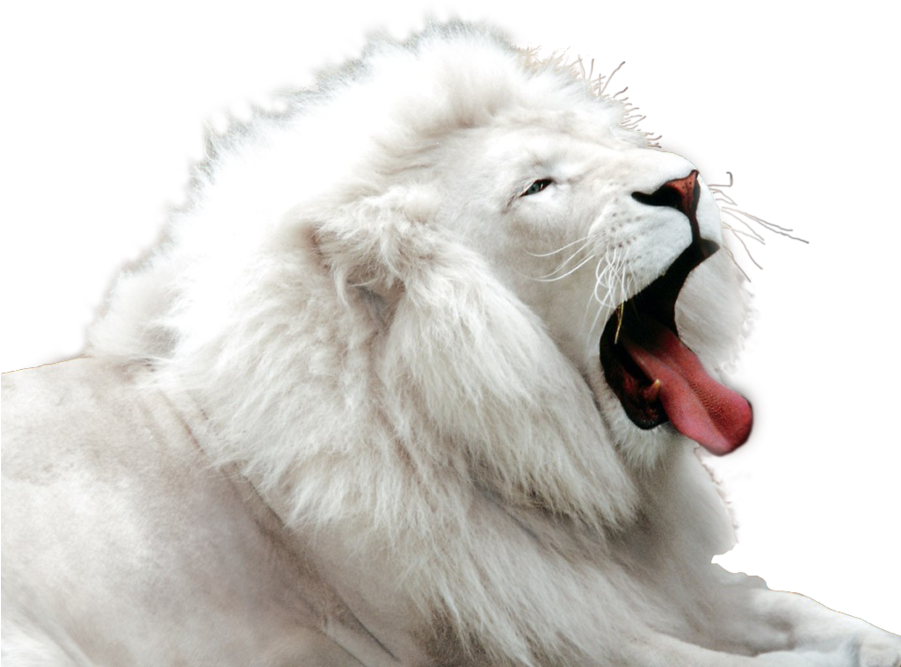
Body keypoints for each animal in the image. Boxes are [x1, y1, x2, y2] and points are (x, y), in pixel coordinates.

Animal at [2, 16, 898, 667]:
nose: (683, 182)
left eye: (595, 146)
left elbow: (816, 617)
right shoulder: (543, 636)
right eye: (537, 185)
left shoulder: (661, 590)